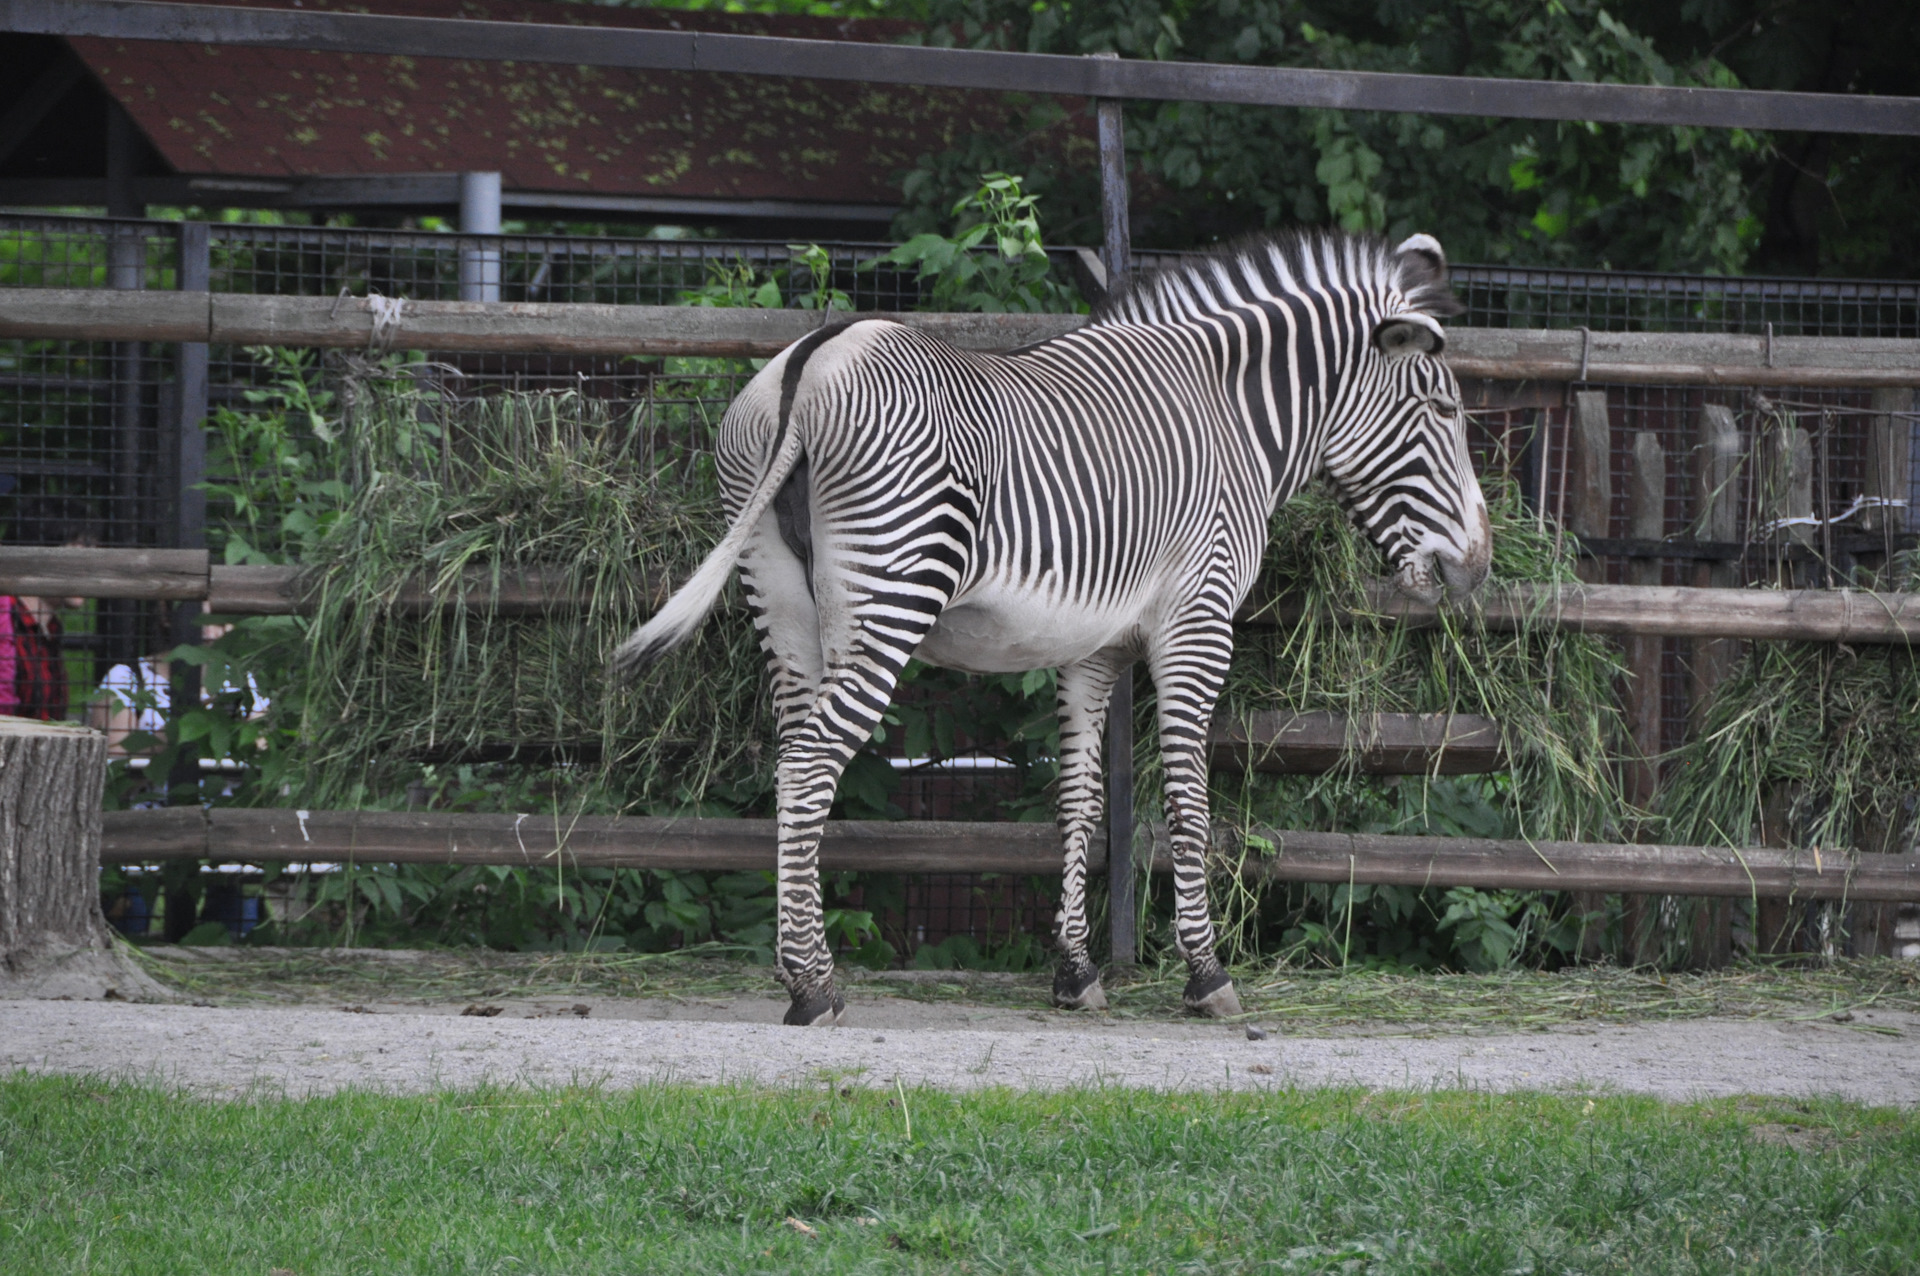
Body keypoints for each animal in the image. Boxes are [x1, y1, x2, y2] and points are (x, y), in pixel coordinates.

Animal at [622, 226, 1489, 1028]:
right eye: (1444, 410)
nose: (1477, 569)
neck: (1234, 416)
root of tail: (811, 359)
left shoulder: (1092, 650)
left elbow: (1079, 799)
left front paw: (1074, 972)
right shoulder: (1198, 619)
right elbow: (1187, 796)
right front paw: (1206, 974)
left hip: (780, 602)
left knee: (791, 759)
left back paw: (800, 970)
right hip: (889, 597)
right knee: (809, 767)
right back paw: (813, 986)